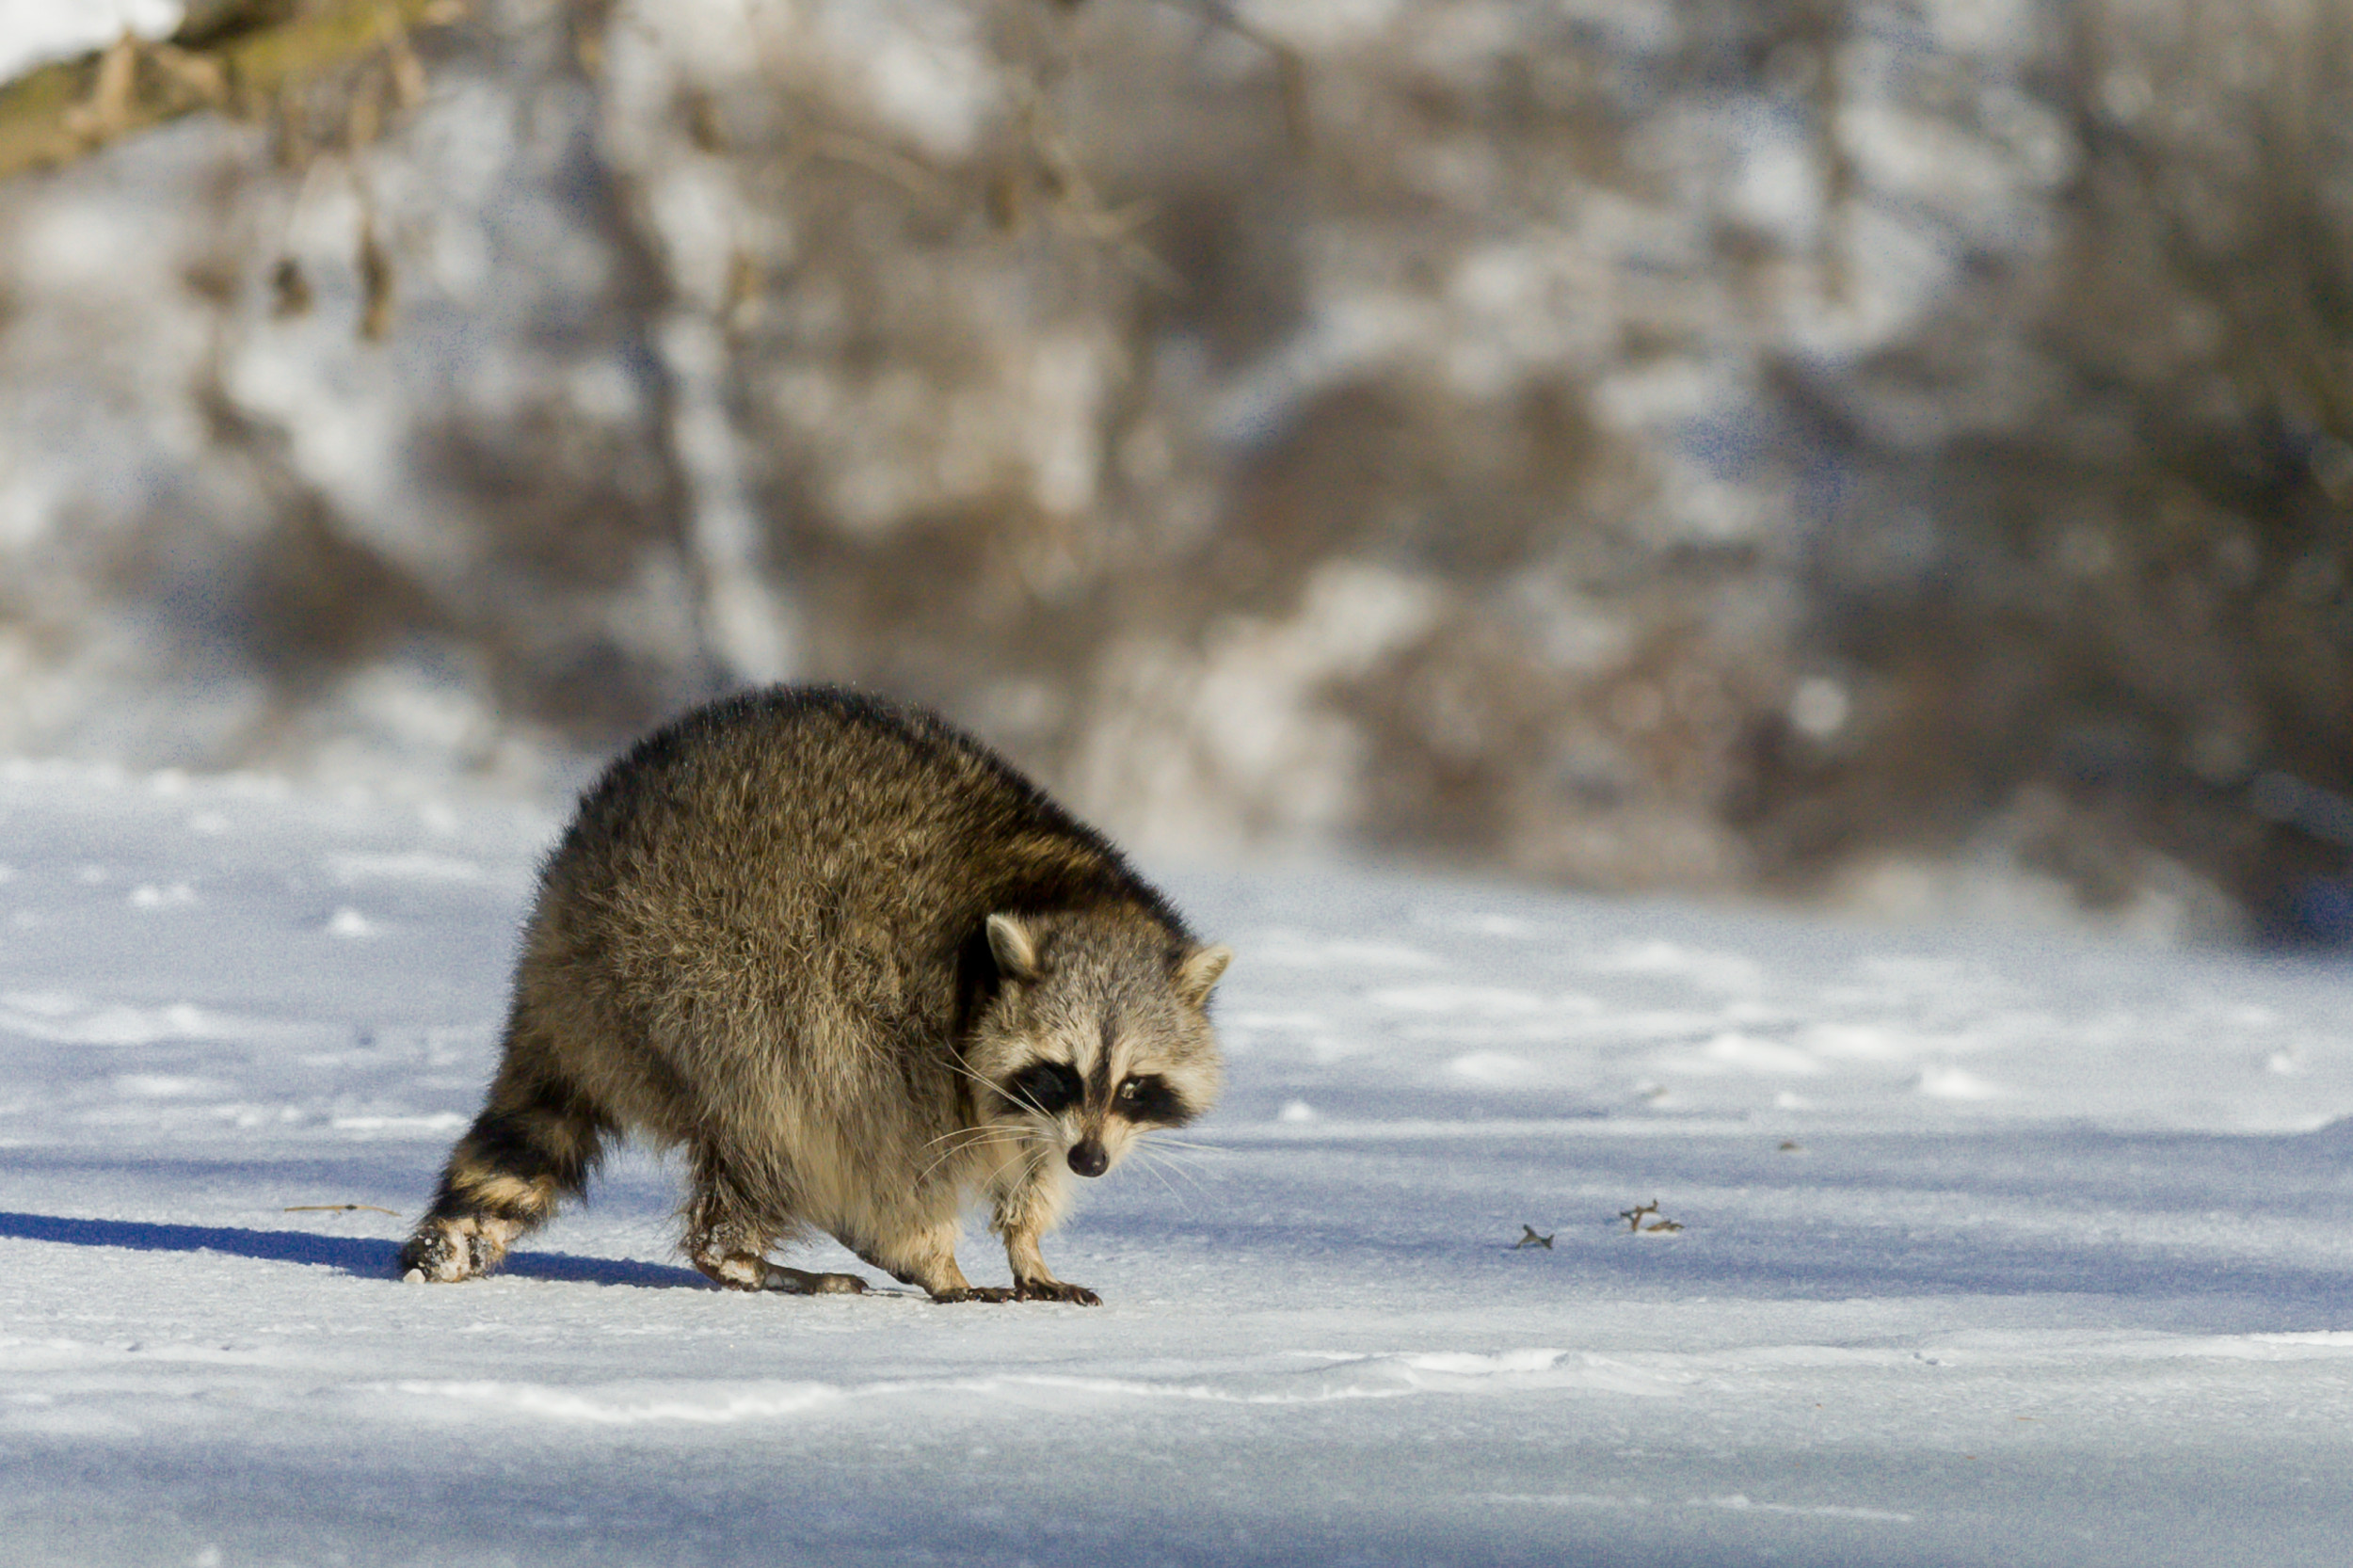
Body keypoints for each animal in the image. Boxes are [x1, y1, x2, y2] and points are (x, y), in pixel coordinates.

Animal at [400, 678, 1233, 1299]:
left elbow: (1030, 1164)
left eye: (1134, 1086)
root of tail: (560, 925)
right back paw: (750, 1254)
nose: (1092, 1162)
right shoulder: (908, 1039)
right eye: (1059, 1072)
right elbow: (896, 1155)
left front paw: (1028, 1242)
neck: (1062, 893)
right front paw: (937, 1258)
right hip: (699, 984)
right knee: (779, 1116)